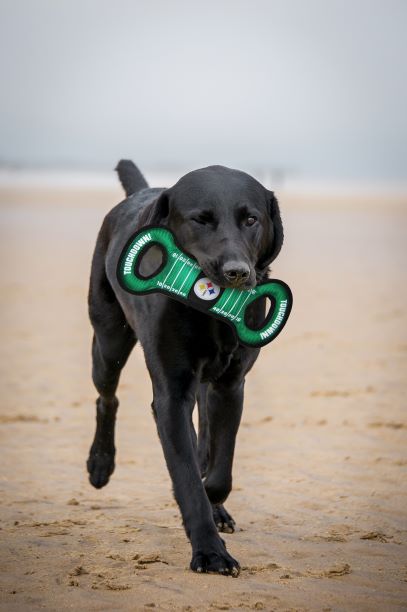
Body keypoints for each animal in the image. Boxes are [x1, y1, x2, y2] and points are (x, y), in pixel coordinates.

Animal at [87, 160, 284, 576]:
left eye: (251, 219)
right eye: (200, 220)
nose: (237, 272)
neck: (210, 313)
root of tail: (140, 193)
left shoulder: (230, 386)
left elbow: (219, 471)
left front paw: (215, 504)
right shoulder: (172, 394)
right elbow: (188, 476)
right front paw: (210, 552)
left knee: (205, 437)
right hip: (109, 342)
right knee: (106, 397)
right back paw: (100, 463)